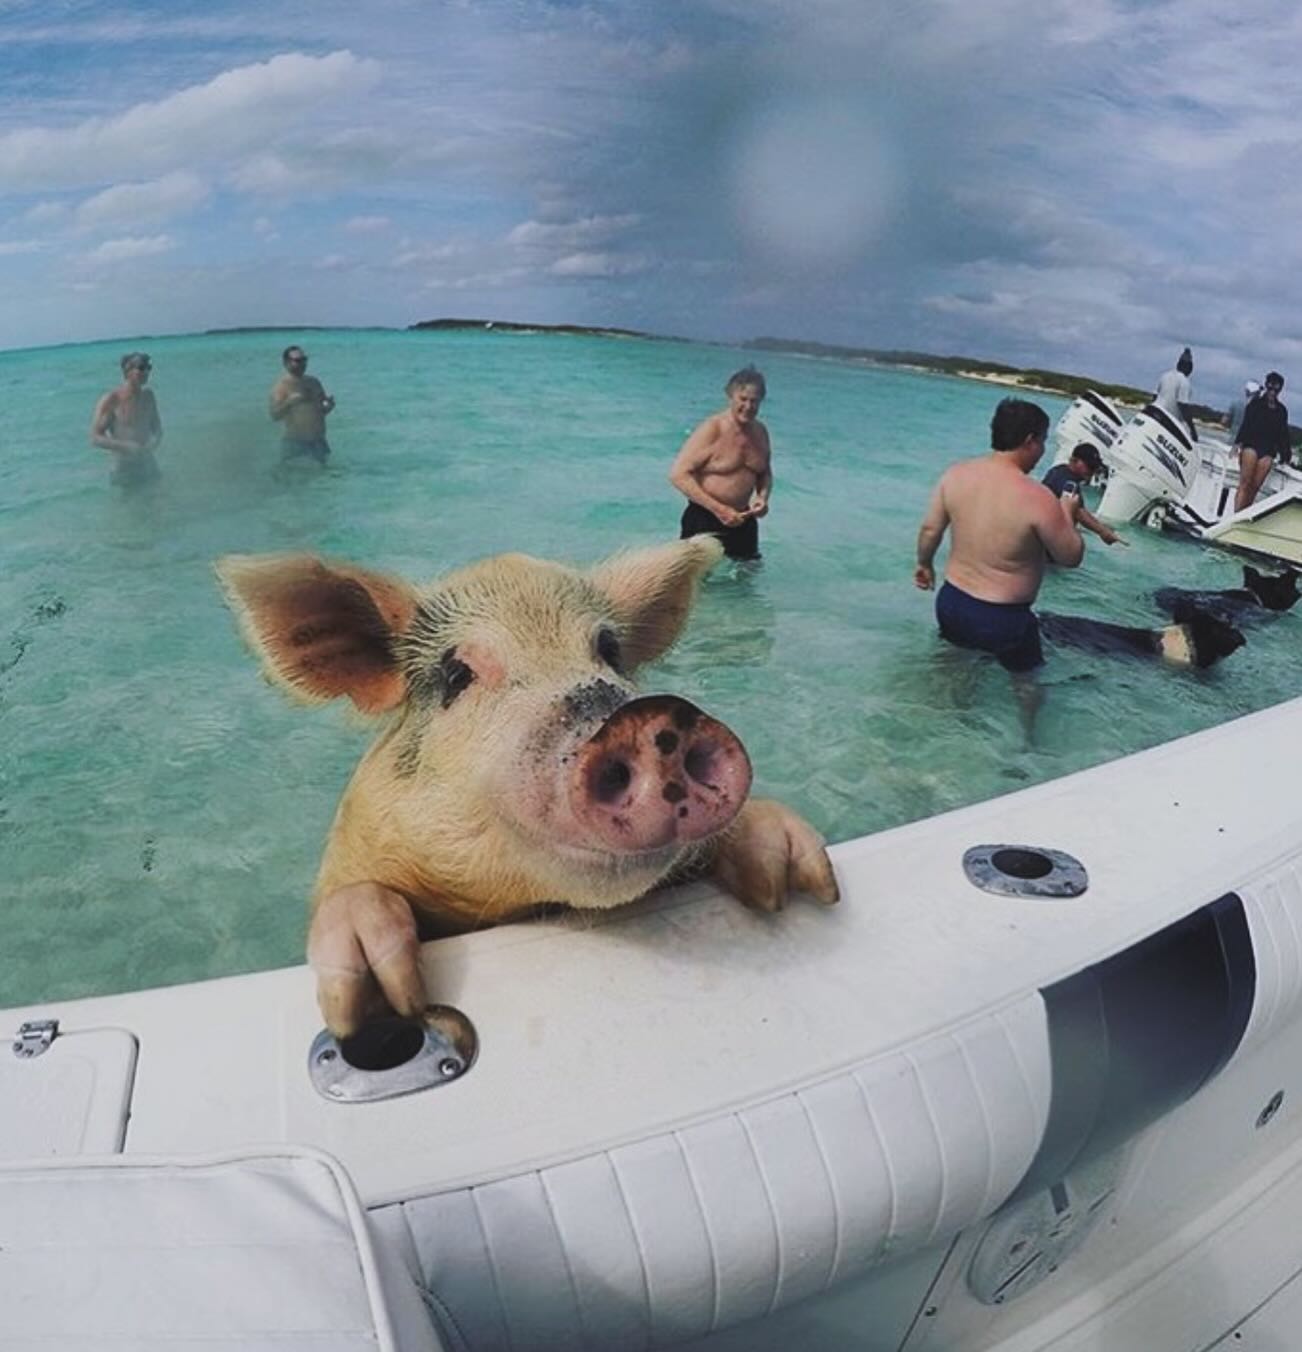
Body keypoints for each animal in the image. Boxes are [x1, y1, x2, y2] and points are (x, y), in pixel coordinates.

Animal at [218, 536, 839, 1035]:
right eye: (457, 675)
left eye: (610, 652)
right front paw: (380, 1003)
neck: (524, 907)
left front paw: (795, 882)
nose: (649, 719)